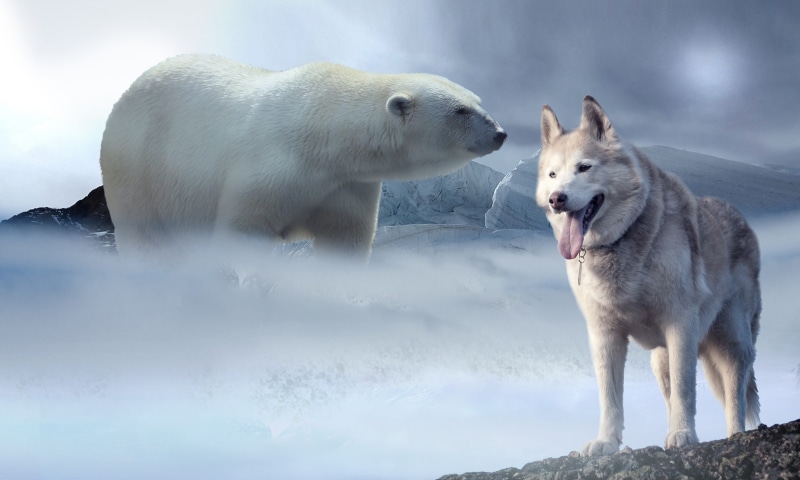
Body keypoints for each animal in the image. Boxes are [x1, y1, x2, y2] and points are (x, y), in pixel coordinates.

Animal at [535, 95, 761, 456]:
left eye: (584, 167)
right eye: (553, 174)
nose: (557, 199)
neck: (620, 242)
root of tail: (740, 217)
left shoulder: (679, 324)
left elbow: (686, 390)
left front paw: (684, 435)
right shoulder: (605, 335)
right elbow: (610, 397)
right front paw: (607, 442)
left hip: (732, 342)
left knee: (734, 393)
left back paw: (734, 435)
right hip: (661, 359)